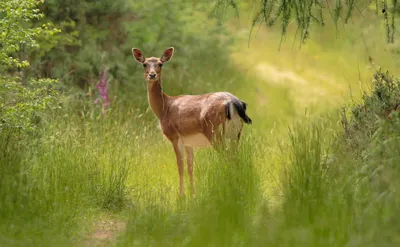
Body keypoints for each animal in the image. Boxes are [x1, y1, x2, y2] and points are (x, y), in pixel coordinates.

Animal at [133, 47, 252, 196]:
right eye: (145, 64)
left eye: (160, 64)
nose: (152, 75)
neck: (164, 108)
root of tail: (233, 102)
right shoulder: (189, 142)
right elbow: (190, 167)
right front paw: (193, 194)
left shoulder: (174, 136)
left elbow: (180, 166)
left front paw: (182, 195)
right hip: (236, 133)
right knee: (235, 158)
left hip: (214, 131)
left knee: (226, 157)